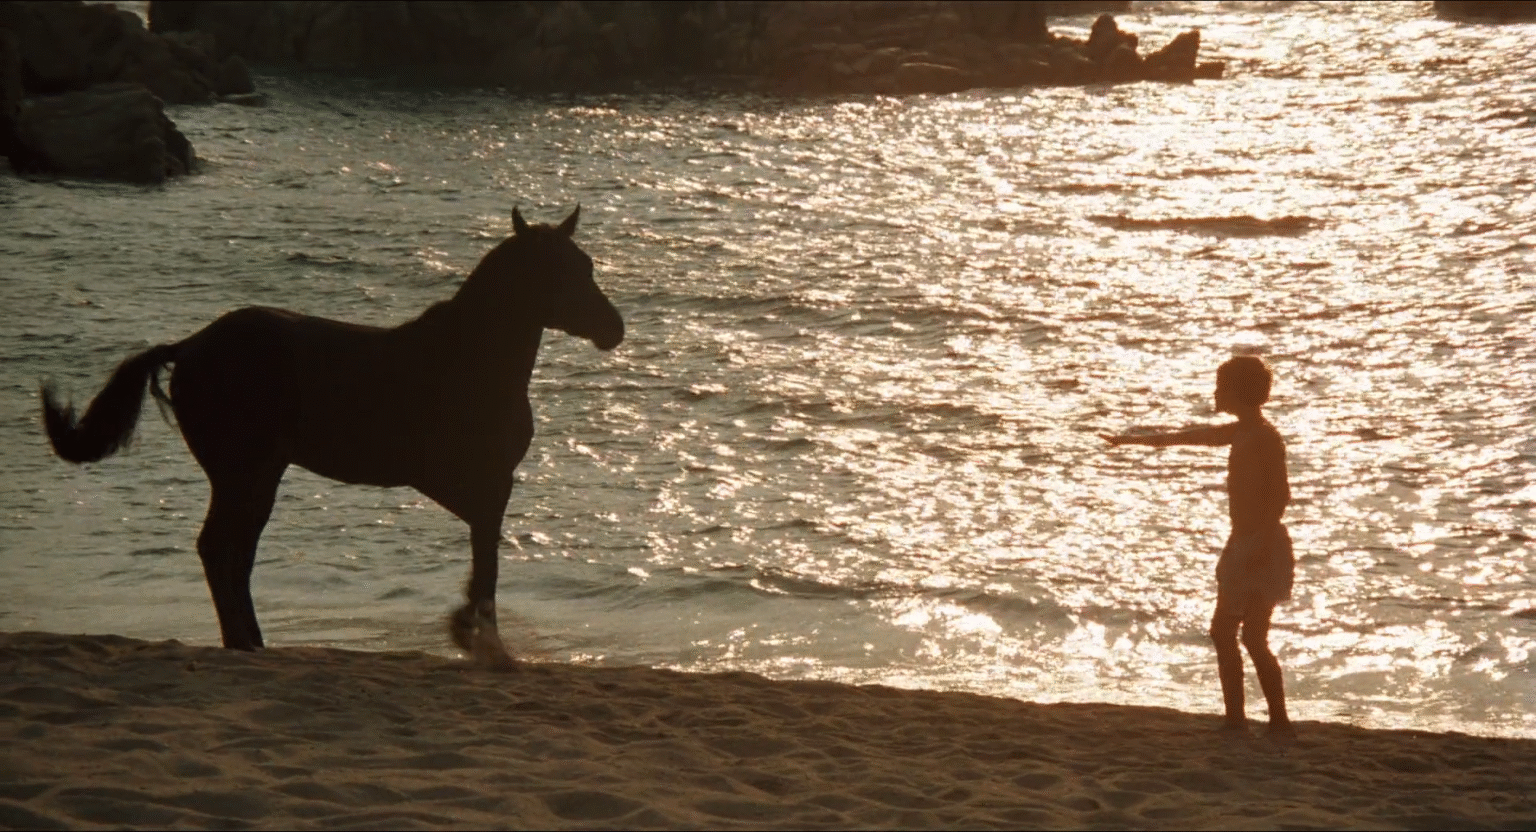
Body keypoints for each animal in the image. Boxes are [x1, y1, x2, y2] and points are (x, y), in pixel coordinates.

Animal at [40, 206, 623, 668]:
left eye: (586, 266)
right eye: (559, 272)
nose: (614, 329)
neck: (468, 360)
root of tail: (189, 346)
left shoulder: (475, 485)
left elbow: (485, 554)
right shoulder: (475, 482)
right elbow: (487, 561)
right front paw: (480, 640)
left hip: (257, 476)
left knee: (234, 552)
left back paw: (251, 642)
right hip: (243, 474)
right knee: (220, 549)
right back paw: (243, 642)